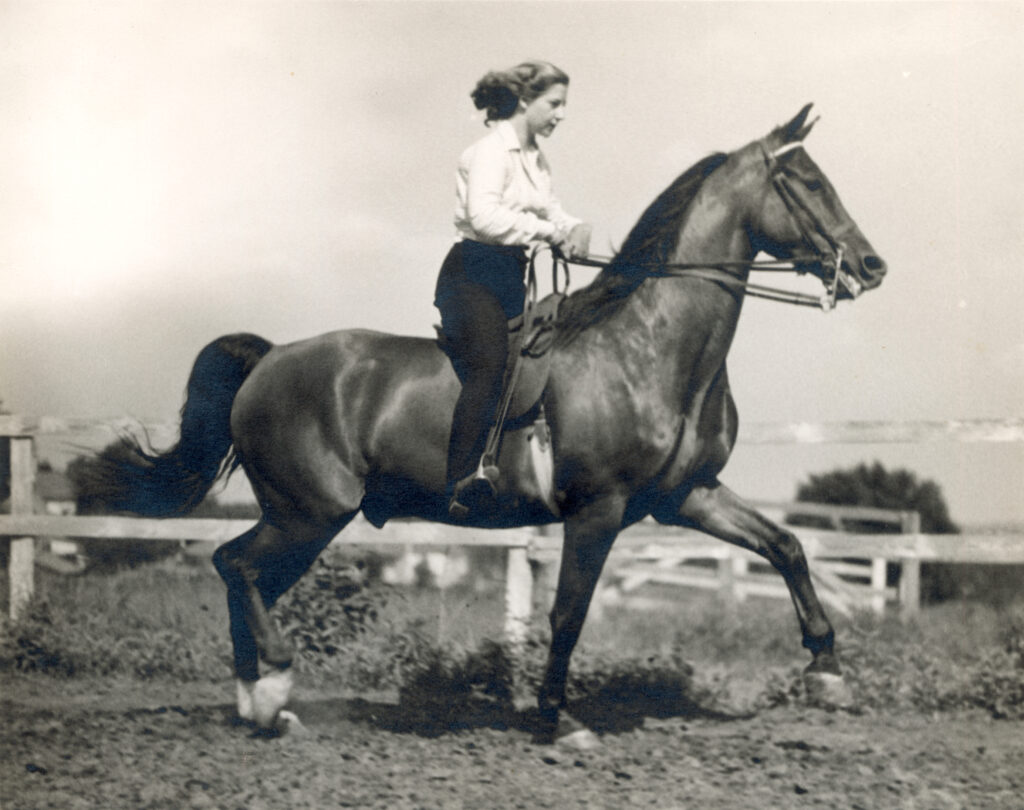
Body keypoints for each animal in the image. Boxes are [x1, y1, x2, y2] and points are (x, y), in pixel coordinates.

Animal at [97, 104, 880, 745]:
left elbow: (786, 546)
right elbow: (567, 615)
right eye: (808, 182)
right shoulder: (599, 508)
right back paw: (273, 688)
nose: (872, 266)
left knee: (241, 572)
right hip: (308, 511)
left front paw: (829, 672)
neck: (649, 346)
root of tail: (269, 358)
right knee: (237, 567)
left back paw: (256, 704)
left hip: (304, 518)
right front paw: (558, 721)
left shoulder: (687, 495)